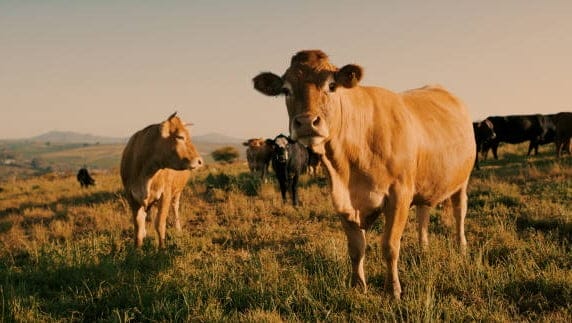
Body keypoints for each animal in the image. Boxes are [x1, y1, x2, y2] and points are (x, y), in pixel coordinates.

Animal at [118, 112, 203, 249]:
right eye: (180, 136)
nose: (200, 161)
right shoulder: (131, 197)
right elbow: (138, 225)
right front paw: (137, 249)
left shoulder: (165, 195)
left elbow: (160, 224)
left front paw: (162, 248)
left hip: (177, 192)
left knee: (175, 208)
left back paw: (178, 229)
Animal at [252, 49, 476, 300]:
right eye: (286, 90)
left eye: (331, 85)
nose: (307, 122)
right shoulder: (342, 200)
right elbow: (356, 248)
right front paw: (358, 285)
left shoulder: (399, 195)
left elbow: (389, 246)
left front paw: (393, 290)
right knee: (423, 214)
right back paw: (423, 248)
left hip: (462, 180)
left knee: (459, 212)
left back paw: (461, 247)